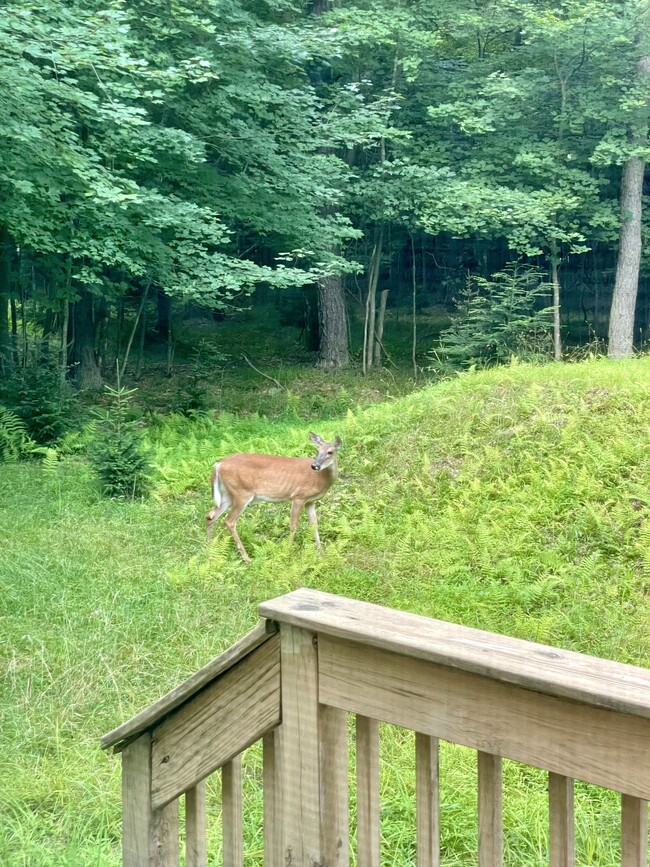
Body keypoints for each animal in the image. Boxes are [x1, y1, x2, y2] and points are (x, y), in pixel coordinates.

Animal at [205, 432, 342, 564]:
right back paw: (246, 558)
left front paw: (322, 553)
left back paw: (209, 549)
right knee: (229, 521)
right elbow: (293, 526)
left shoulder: (310, 501)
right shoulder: (298, 496)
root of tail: (218, 464)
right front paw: (288, 552)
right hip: (241, 493)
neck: (320, 479)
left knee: (210, 515)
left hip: (228, 494)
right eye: (317, 451)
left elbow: (314, 525)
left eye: (330, 452)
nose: (315, 465)